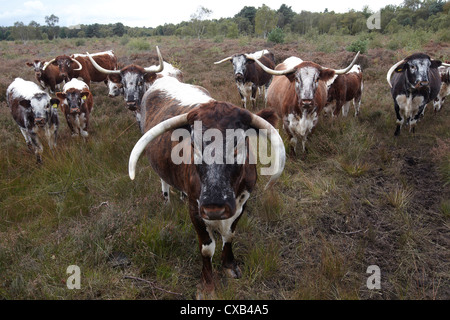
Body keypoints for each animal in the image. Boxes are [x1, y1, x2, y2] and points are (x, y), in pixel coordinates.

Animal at [128, 74, 286, 298]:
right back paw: (167, 201)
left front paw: (229, 265)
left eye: (238, 146)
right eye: (194, 145)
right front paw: (208, 286)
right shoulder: (196, 210)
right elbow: (207, 248)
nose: (214, 208)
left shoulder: (242, 202)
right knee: (164, 180)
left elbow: (229, 234)